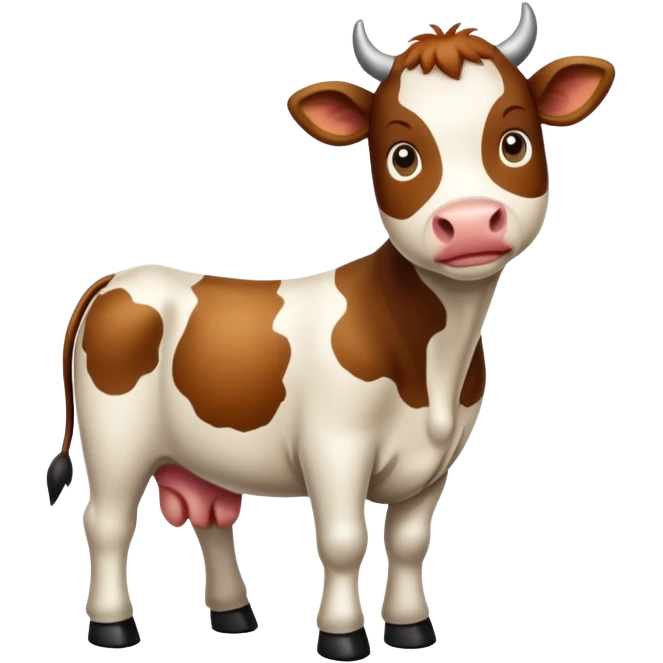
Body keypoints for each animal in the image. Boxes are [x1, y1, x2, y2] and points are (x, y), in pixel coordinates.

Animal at [47, 3, 615, 660]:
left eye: (515, 142)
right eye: (402, 155)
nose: (471, 221)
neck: (432, 365)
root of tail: (119, 277)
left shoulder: (437, 460)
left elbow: (409, 541)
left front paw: (410, 629)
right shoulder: (335, 445)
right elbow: (345, 541)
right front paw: (343, 637)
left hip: (196, 448)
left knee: (211, 515)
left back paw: (234, 615)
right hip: (115, 440)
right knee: (108, 522)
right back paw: (113, 626)